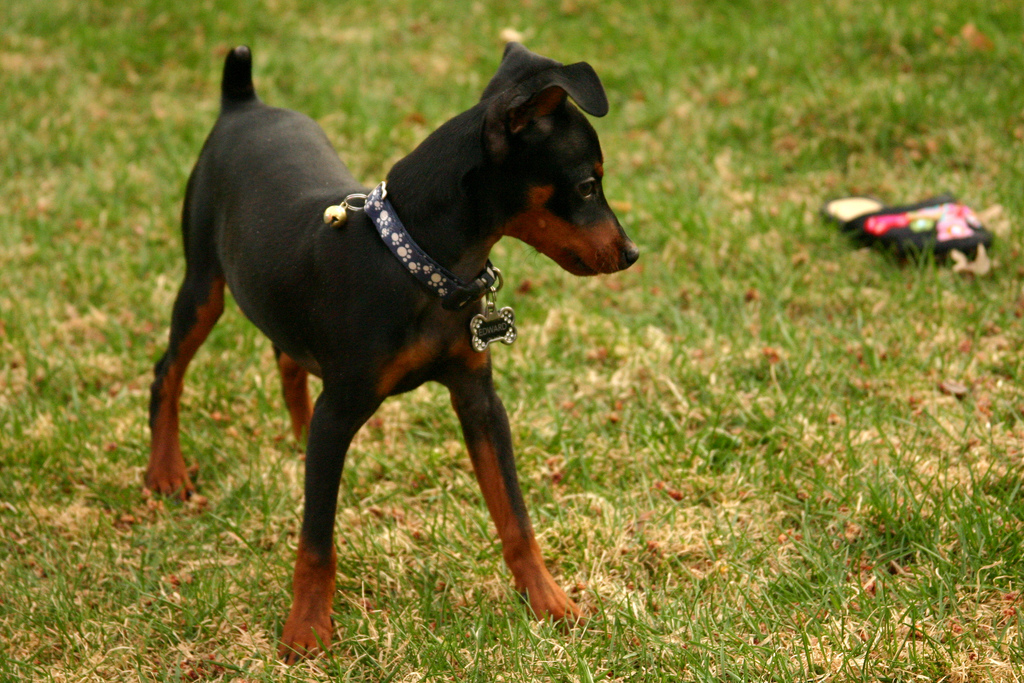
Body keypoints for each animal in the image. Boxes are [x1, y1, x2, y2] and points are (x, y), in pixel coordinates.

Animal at [148, 42, 634, 663]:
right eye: (588, 186)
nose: (631, 253)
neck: (418, 265)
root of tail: (243, 103)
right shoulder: (343, 407)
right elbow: (316, 542)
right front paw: (306, 629)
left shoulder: (479, 400)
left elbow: (515, 516)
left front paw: (549, 602)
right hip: (203, 283)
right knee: (168, 371)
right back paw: (165, 470)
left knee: (288, 361)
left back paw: (298, 437)